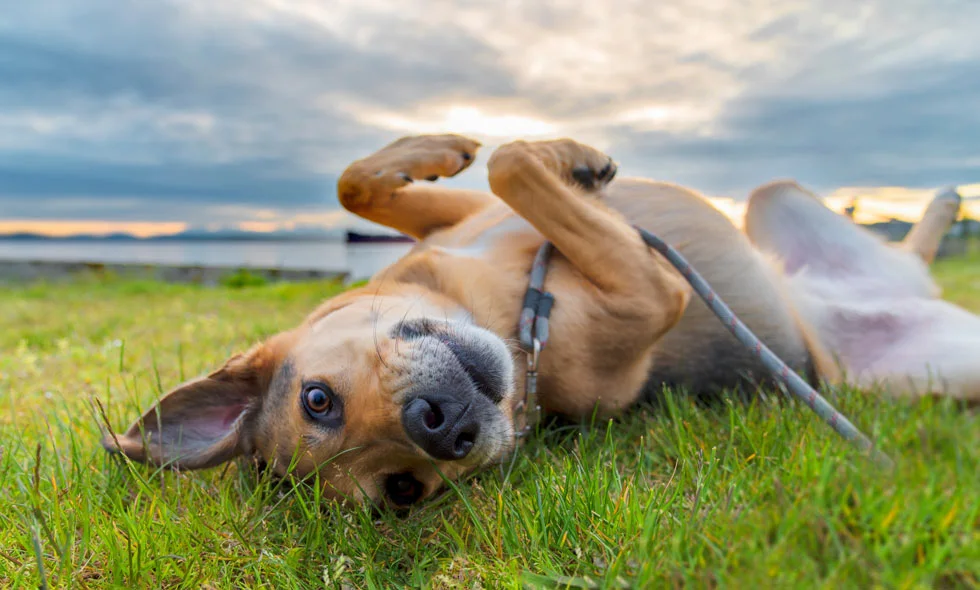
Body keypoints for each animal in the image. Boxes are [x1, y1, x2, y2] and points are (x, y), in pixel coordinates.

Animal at [101, 134, 980, 508]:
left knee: (905, 248)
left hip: (773, 199)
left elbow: (378, 181)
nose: (439, 426)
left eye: (318, 399)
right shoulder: (652, 291)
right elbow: (515, 167)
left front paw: (461, 145)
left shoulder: (463, 218)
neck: (504, 308)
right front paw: (561, 157)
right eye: (404, 491)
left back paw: (941, 204)